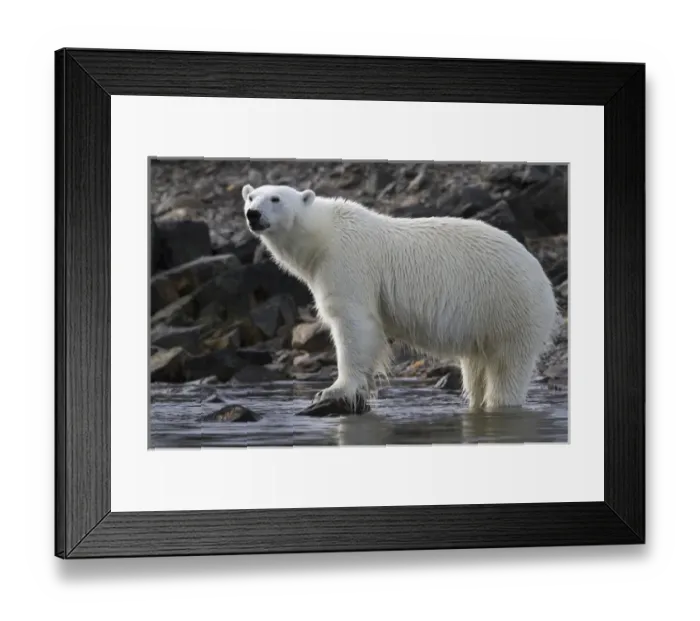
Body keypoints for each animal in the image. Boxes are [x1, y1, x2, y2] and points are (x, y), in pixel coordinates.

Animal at [241, 183, 559, 415]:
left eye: (275, 198)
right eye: (251, 197)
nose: (253, 214)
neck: (323, 234)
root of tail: (545, 282)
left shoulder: (347, 262)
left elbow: (355, 324)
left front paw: (333, 390)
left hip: (508, 305)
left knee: (507, 367)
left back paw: (500, 403)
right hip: (484, 320)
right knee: (476, 368)